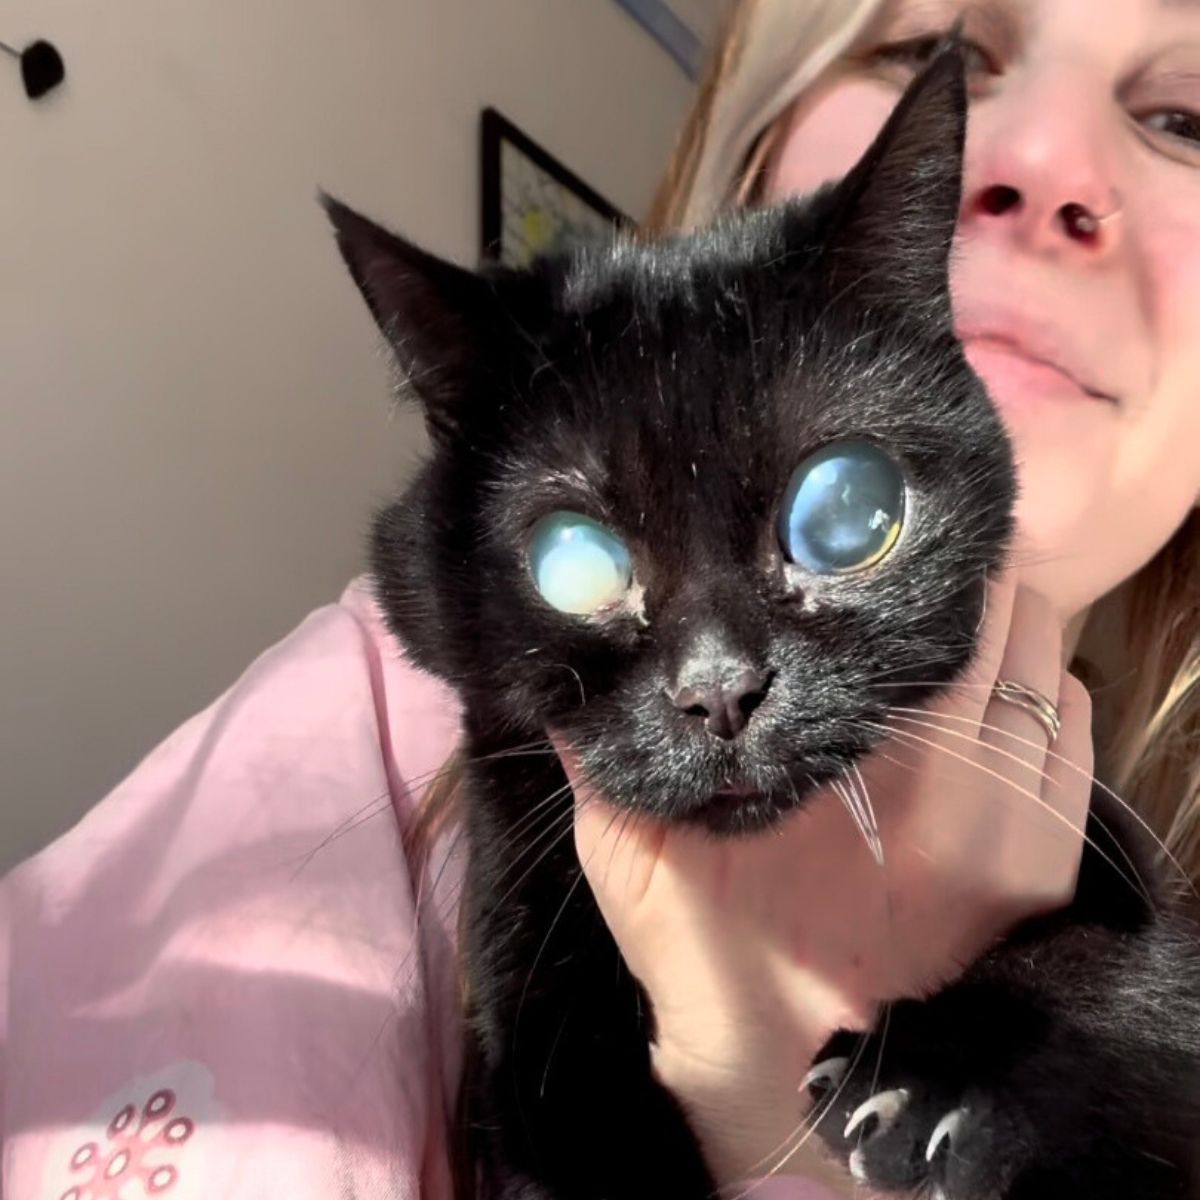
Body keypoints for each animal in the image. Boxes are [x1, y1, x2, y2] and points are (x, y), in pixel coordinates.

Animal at [324, 42, 1200, 1200]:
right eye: (573, 562)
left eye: (848, 514)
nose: (719, 690)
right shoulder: (517, 901)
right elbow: (559, 1090)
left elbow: (1124, 963)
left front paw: (933, 1081)